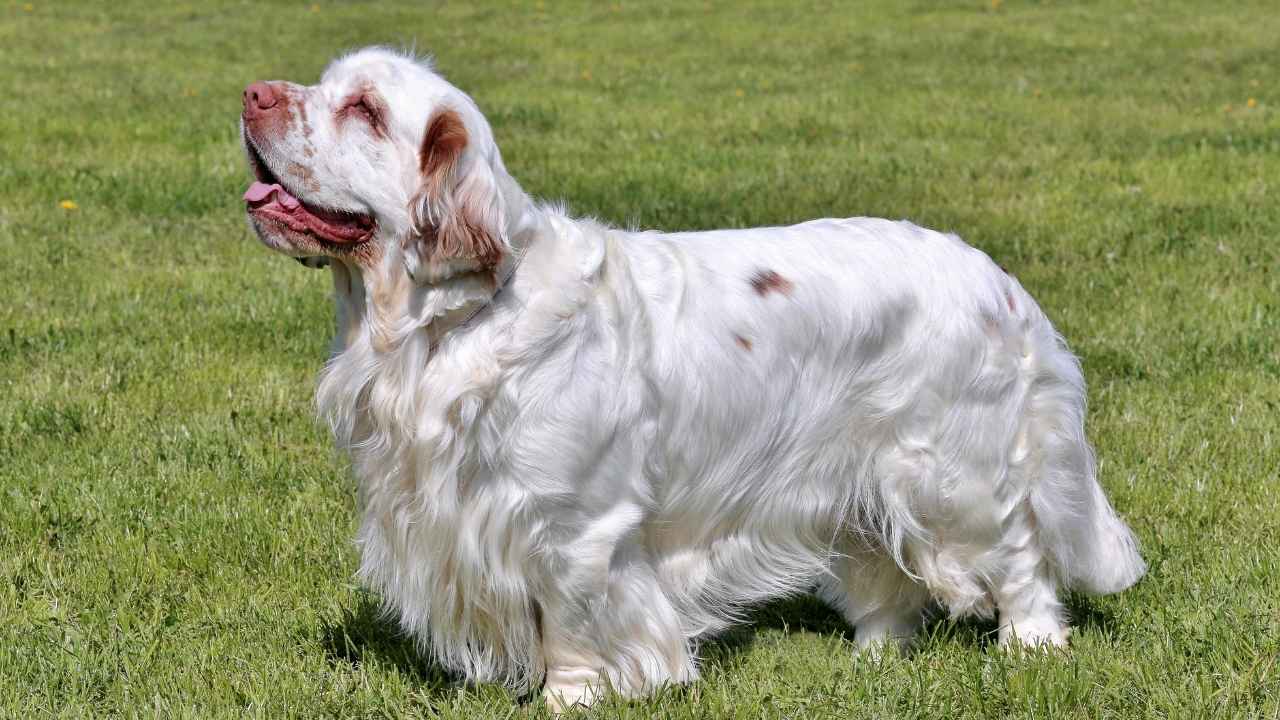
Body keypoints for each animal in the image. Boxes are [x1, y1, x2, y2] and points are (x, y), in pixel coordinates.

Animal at [240, 46, 1152, 707]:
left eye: (363, 110)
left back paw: (1032, 645)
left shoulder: (576, 526)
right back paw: (872, 656)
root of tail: (999, 280)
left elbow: (570, 624)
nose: (251, 94)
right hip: (856, 473)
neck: (450, 322)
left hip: (950, 472)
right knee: (885, 572)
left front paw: (569, 700)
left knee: (1020, 552)